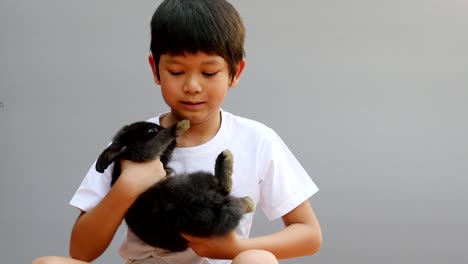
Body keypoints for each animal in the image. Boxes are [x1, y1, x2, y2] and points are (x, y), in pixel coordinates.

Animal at [96, 119, 256, 252]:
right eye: (150, 131)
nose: (164, 126)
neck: (125, 155)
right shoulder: (143, 152)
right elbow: (159, 141)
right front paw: (180, 125)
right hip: (193, 179)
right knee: (225, 187)